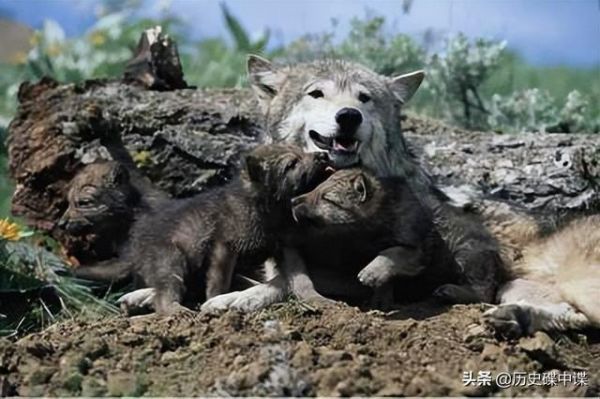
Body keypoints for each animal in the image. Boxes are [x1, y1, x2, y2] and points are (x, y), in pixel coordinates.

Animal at [202, 55, 502, 312]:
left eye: (364, 98)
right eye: (316, 94)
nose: (349, 115)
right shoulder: (289, 247)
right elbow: (287, 276)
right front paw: (236, 296)